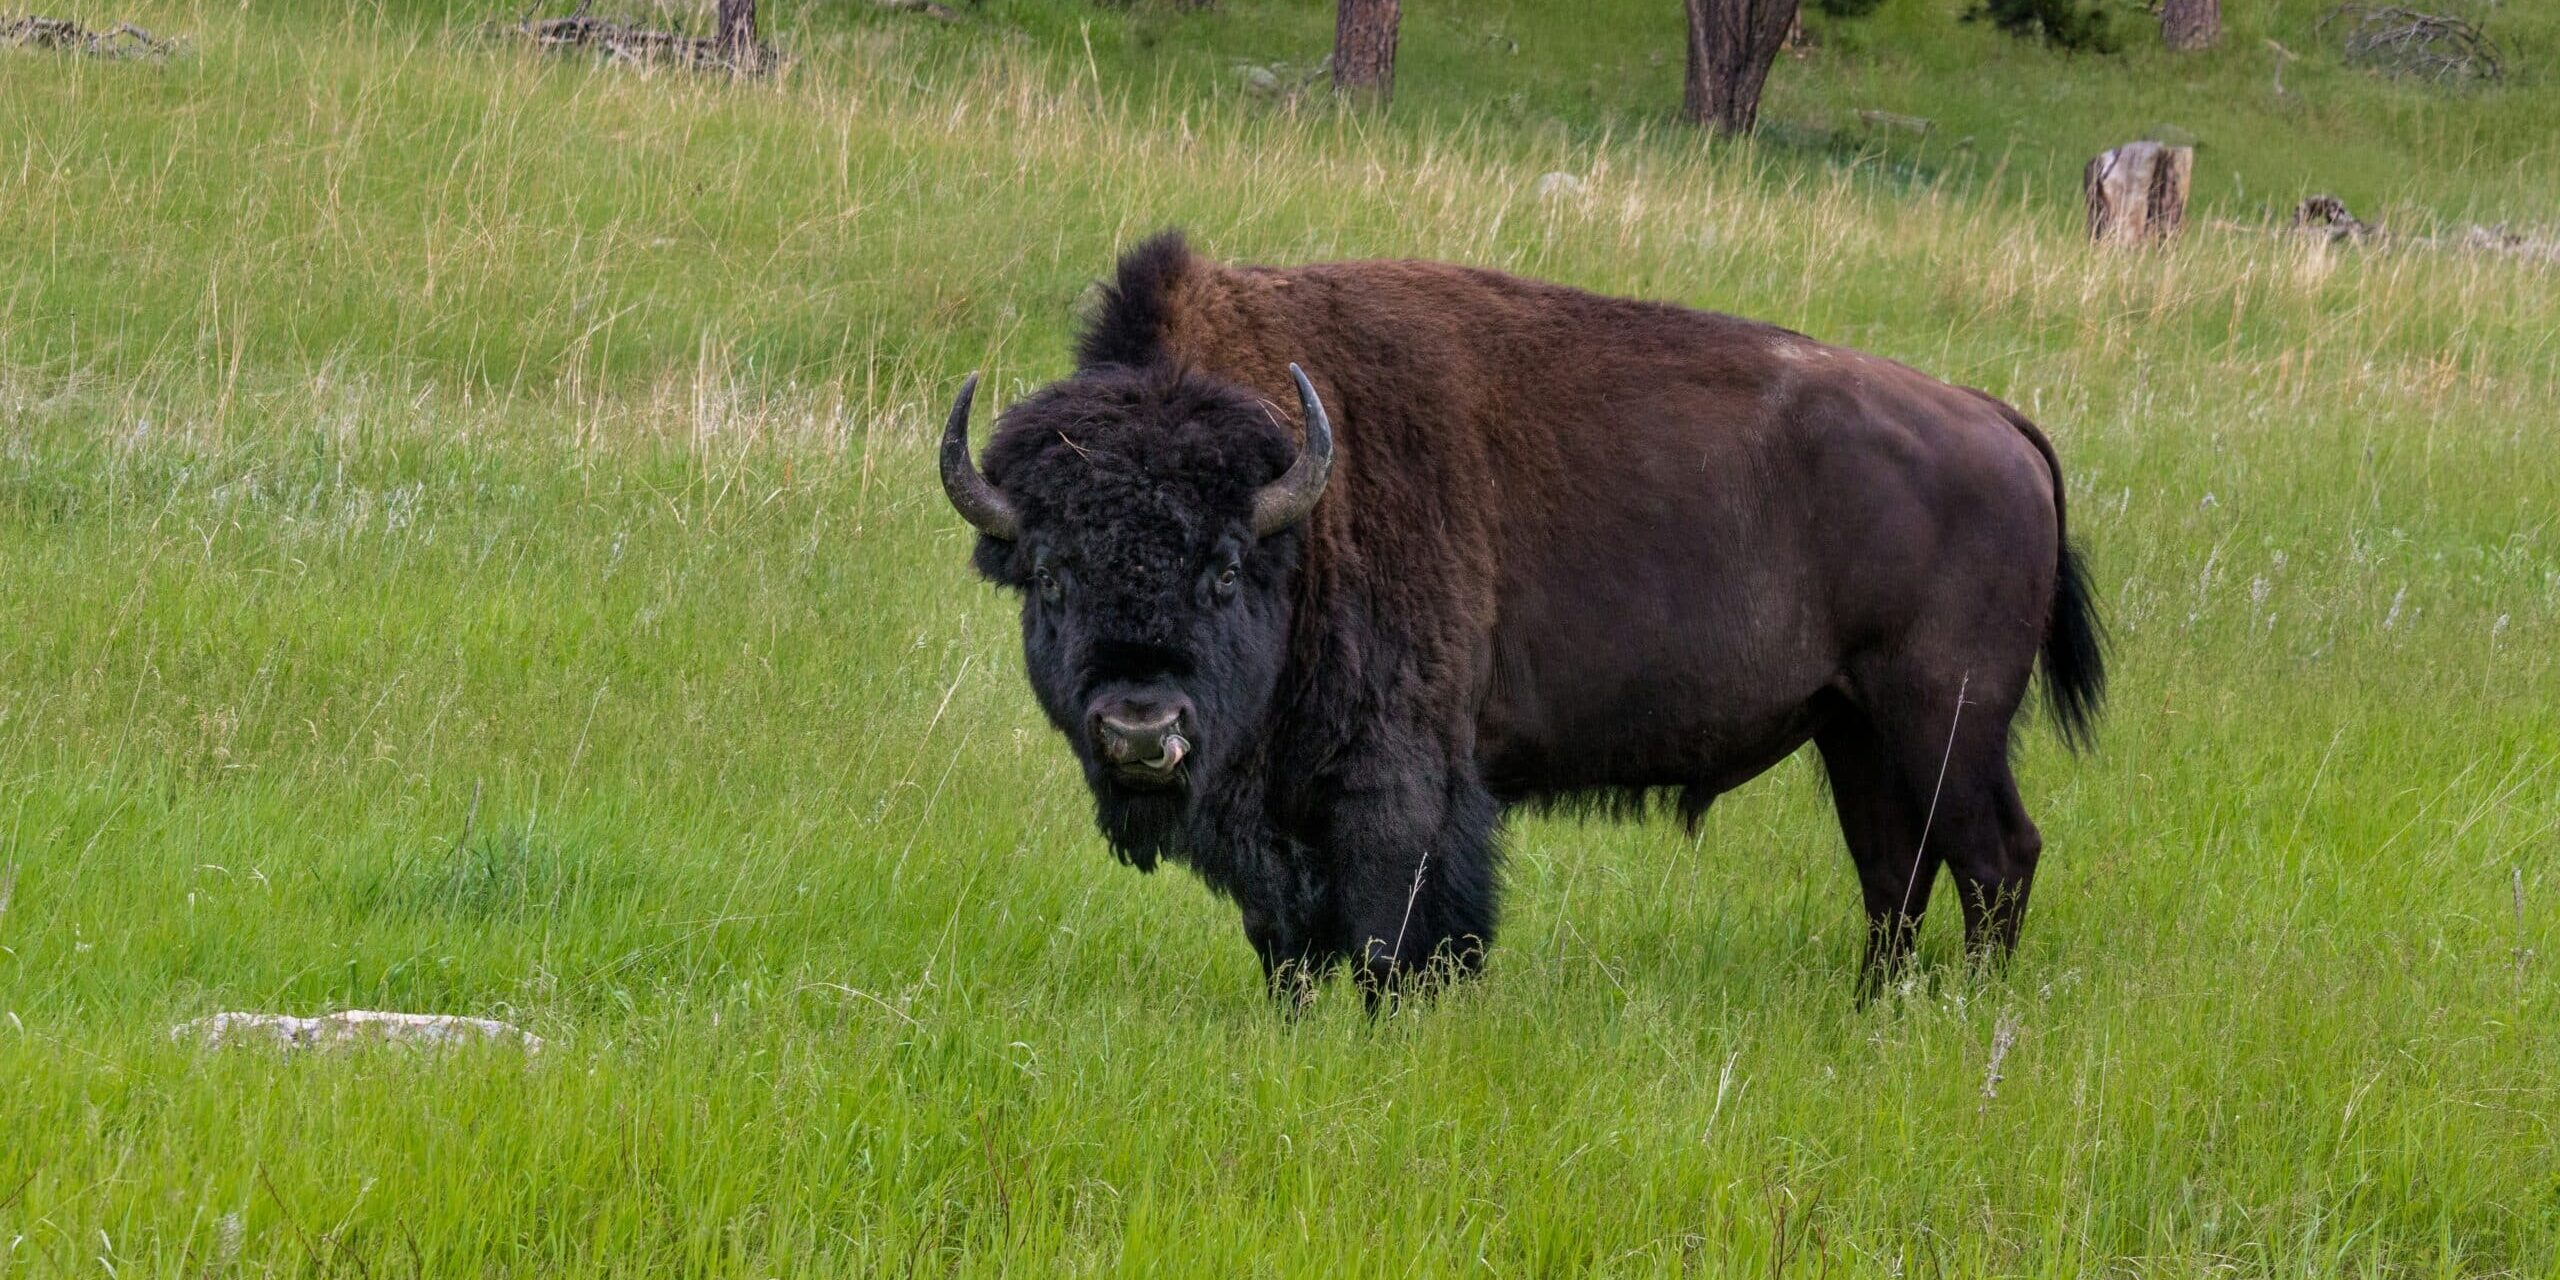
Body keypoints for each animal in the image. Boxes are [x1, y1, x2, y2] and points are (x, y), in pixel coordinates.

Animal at [940, 232, 2104, 1002]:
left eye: (1223, 569)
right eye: (1048, 573)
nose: (1139, 729)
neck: (1302, 511)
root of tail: (1992, 418)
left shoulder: (1399, 787)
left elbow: (1396, 933)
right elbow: (1287, 944)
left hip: (1945, 720)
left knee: (1995, 858)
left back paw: (1967, 1013)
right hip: (1852, 728)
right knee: (1893, 872)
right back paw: (1870, 1011)